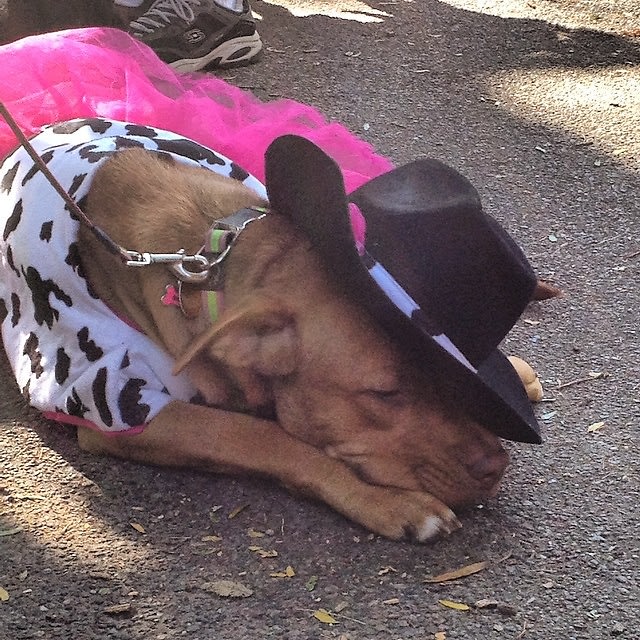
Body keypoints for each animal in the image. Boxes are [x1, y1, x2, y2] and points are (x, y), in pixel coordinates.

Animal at [0, 119, 552, 540]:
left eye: (446, 376)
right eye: (386, 394)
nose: (495, 465)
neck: (217, 257)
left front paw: (509, 373)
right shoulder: (122, 407)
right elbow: (264, 438)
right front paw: (386, 501)